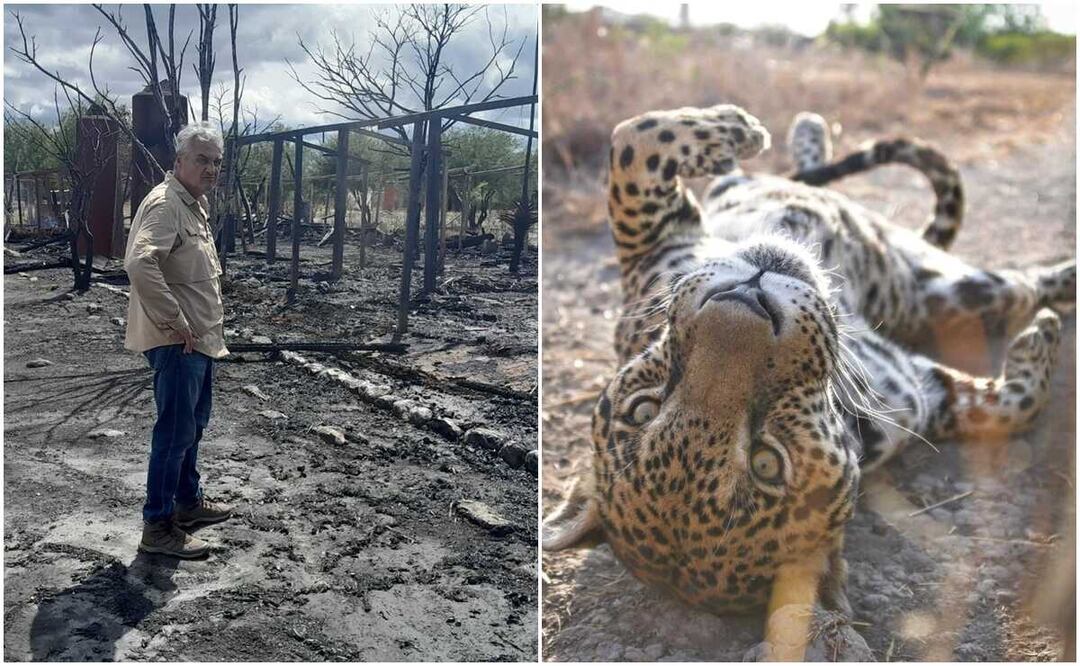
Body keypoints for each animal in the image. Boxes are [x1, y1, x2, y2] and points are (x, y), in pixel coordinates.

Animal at [543, 104, 1076, 660]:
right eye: (768, 463)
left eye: (642, 410)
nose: (748, 298)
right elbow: (641, 140)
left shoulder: (652, 246)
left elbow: (638, 137)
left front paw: (739, 128)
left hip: (950, 288)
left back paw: (800, 139)